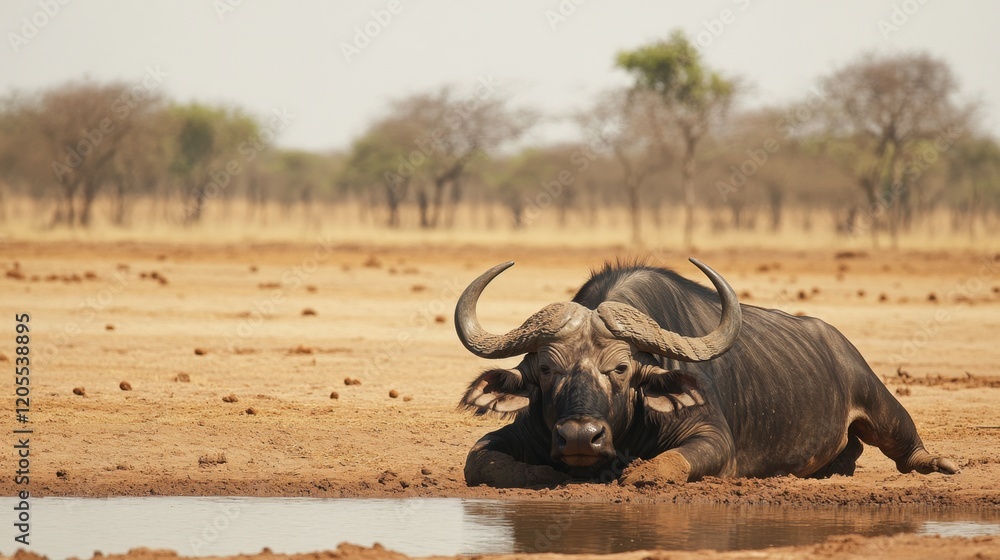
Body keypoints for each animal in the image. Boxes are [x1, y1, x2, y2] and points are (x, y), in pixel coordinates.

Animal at [455, 259, 957, 487]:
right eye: (545, 368)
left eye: (621, 368)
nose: (581, 436)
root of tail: (836, 341)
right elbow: (481, 459)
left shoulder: (715, 441)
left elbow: (664, 466)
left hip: (878, 401)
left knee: (903, 439)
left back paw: (938, 463)